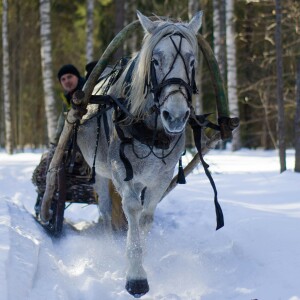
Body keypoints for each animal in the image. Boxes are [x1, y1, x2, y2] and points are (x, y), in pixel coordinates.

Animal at [76, 11, 203, 298]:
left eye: (192, 62)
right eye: (155, 61)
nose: (176, 116)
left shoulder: (161, 177)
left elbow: (146, 216)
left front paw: (143, 258)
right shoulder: (121, 172)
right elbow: (132, 208)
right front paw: (135, 276)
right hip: (99, 171)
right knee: (104, 209)